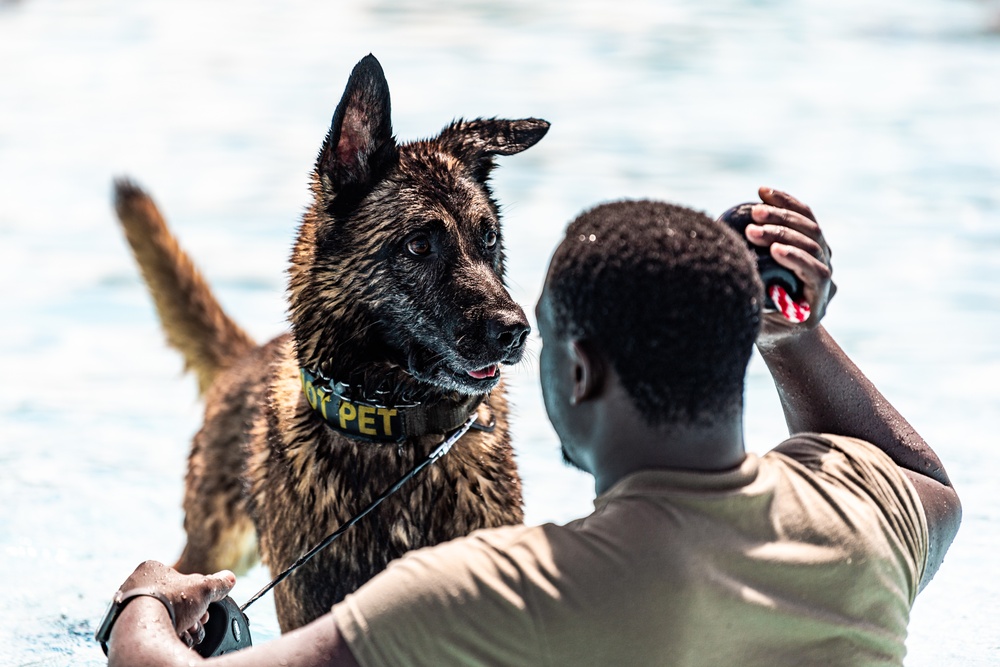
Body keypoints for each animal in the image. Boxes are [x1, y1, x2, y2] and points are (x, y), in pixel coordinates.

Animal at [114, 53, 552, 632]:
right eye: (419, 244)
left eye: (489, 238)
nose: (516, 330)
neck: (399, 438)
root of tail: (246, 357)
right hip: (212, 548)